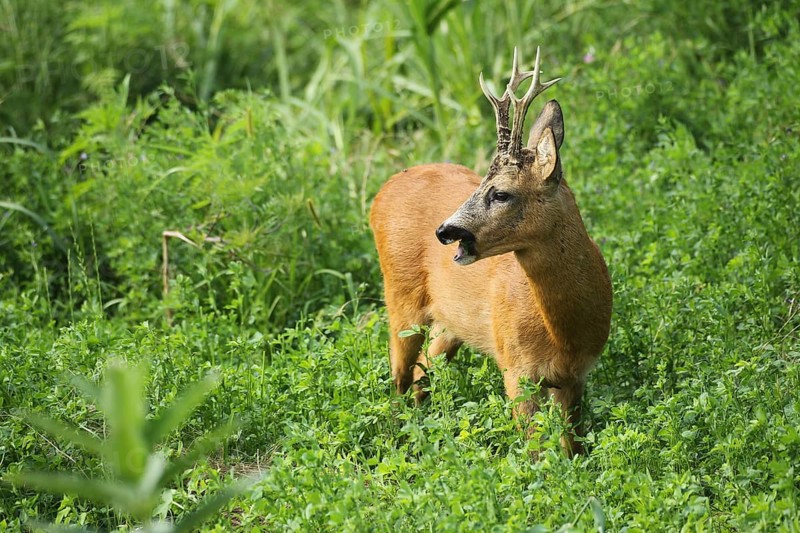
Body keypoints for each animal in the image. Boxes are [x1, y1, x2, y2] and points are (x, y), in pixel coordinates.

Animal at [369, 47, 612, 456]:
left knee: (424, 369)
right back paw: (397, 438)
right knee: (399, 374)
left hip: (451, 322)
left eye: (500, 193)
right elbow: (535, 450)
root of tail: (383, 190)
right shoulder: (516, 368)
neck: (563, 332)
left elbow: (571, 445)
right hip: (400, 295)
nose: (444, 231)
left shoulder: (575, 376)